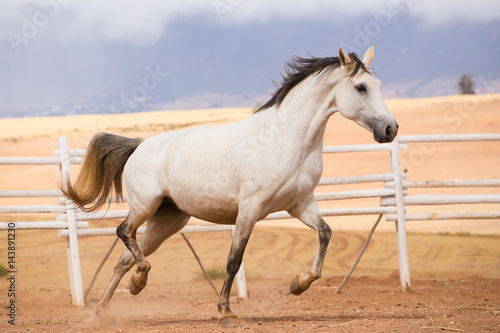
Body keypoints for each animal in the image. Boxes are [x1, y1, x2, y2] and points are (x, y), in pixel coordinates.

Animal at [62, 45, 398, 326]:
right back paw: (137, 282)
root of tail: (139, 146)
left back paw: (107, 307)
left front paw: (298, 284)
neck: (286, 139)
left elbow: (325, 234)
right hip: (145, 206)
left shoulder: (299, 204)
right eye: (361, 87)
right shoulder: (250, 207)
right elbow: (234, 260)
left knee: (124, 258)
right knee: (124, 233)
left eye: (380, 86)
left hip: (168, 220)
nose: (390, 129)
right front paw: (226, 311)